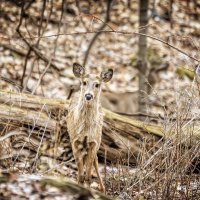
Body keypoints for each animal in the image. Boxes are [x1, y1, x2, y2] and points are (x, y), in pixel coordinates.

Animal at [67, 62, 113, 192]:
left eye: (97, 84)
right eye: (84, 82)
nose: (88, 95)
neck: (85, 131)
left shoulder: (94, 143)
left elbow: (87, 176)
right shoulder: (74, 141)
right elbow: (80, 175)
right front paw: (79, 186)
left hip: (98, 141)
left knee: (96, 161)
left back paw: (103, 189)